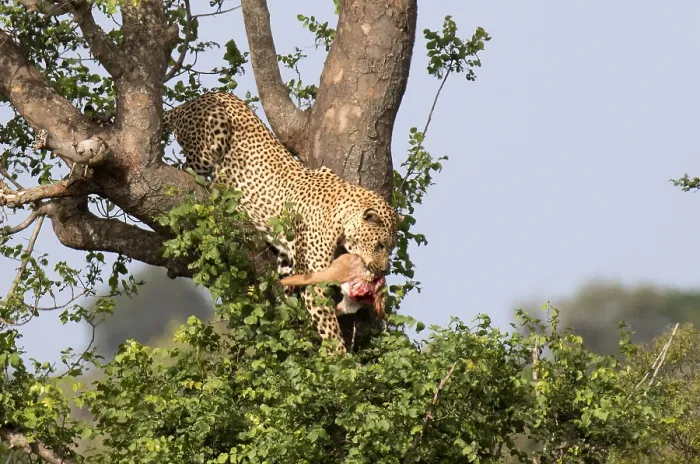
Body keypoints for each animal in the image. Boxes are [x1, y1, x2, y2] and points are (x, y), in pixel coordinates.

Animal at [162, 92, 401, 353]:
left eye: (390, 248)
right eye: (380, 245)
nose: (383, 270)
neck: (341, 214)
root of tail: (190, 102)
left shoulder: (288, 260)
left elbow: (289, 292)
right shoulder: (313, 278)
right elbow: (328, 325)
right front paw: (339, 357)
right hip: (213, 133)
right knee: (186, 168)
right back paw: (218, 188)